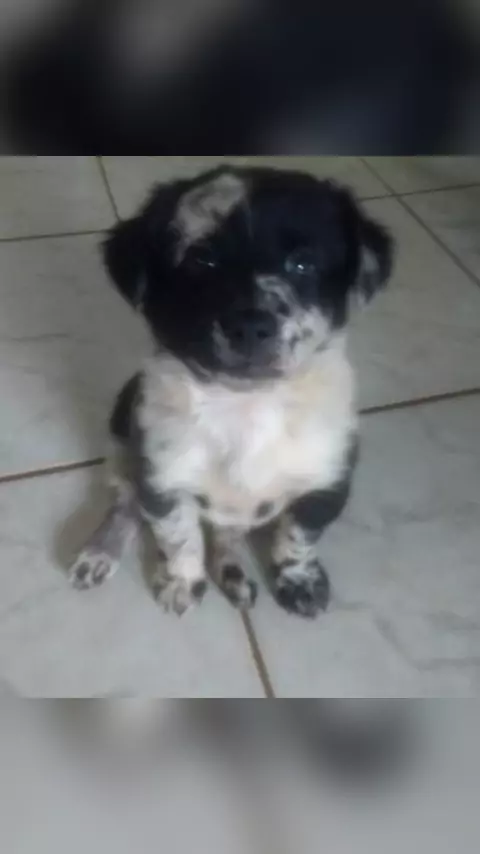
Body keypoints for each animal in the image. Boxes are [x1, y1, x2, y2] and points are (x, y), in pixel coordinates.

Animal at [69, 165, 394, 618]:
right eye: (202, 260)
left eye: (304, 264)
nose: (250, 326)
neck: (247, 407)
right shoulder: (162, 480)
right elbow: (179, 536)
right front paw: (182, 582)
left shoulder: (325, 484)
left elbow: (298, 538)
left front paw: (299, 581)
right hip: (121, 438)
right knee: (126, 507)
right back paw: (100, 553)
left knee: (225, 537)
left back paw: (233, 575)